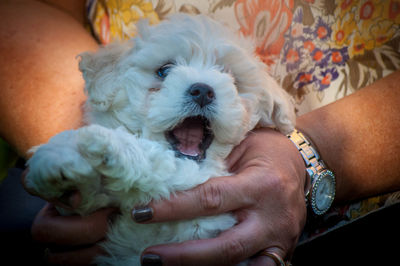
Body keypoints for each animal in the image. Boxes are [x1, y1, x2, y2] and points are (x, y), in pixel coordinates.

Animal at [24, 15, 294, 266]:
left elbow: (157, 159)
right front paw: (59, 160)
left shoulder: (207, 214)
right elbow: (84, 200)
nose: (202, 91)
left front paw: (103, 142)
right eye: (164, 71)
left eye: (232, 79)